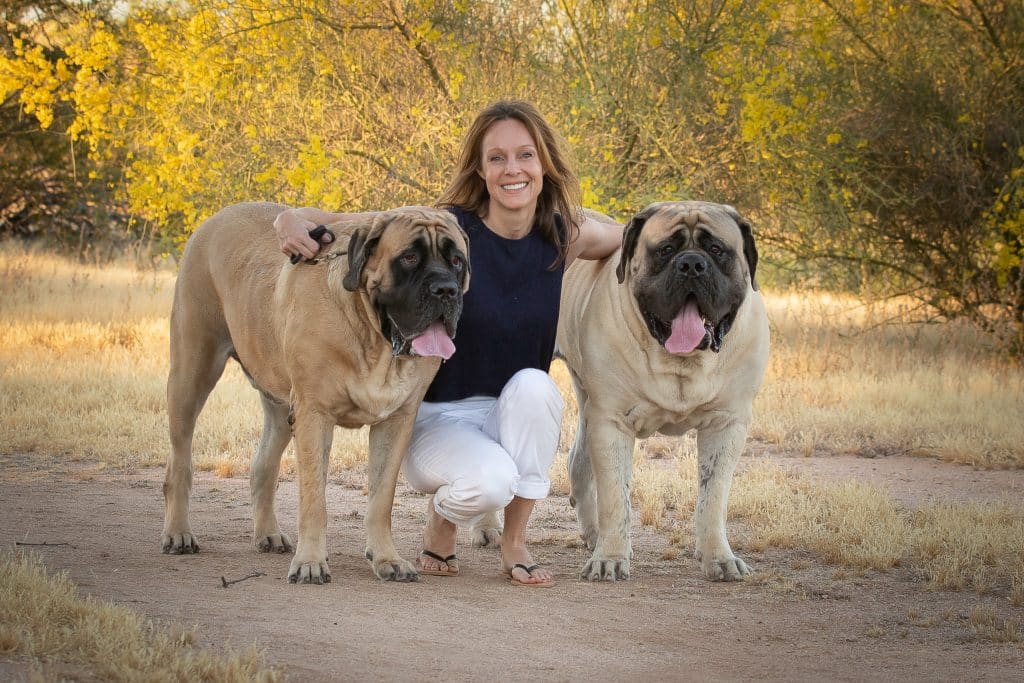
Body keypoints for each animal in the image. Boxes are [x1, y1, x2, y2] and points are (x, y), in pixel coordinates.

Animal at [161, 200, 468, 585]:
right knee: (179, 461)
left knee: (263, 465)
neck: (374, 341)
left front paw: (387, 558)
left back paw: (268, 534)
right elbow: (313, 499)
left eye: (457, 261)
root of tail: (215, 218)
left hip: (280, 406)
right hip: (191, 373)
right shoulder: (314, 415)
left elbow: (381, 498)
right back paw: (178, 533)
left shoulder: (396, 421)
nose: (446, 290)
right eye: (410, 258)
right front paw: (310, 563)